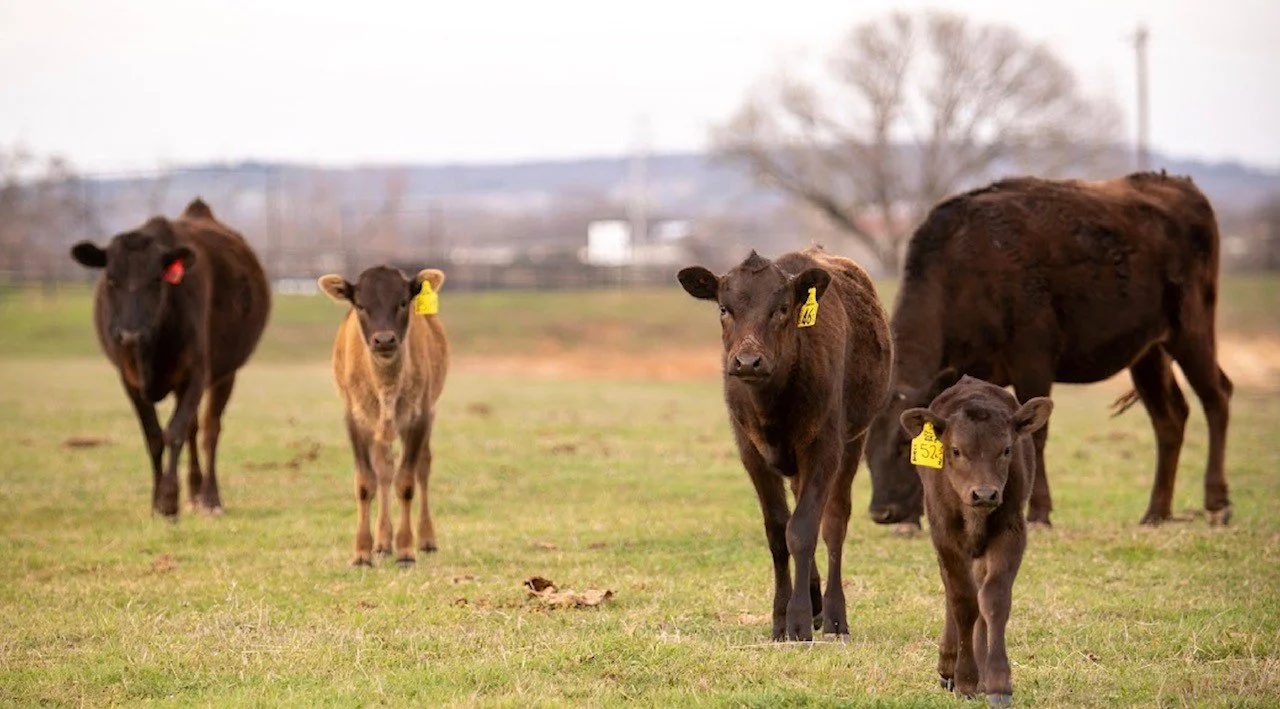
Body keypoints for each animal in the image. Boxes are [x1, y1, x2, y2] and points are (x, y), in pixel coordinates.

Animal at [69, 198, 271, 517]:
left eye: (156, 280)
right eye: (111, 280)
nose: (130, 334)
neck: (151, 351)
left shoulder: (196, 373)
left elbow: (174, 432)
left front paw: (168, 500)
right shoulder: (129, 379)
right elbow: (154, 435)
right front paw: (156, 501)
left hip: (226, 373)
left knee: (209, 429)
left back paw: (209, 498)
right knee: (193, 428)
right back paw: (194, 492)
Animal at [318, 266, 449, 567]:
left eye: (403, 302)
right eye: (360, 305)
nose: (384, 339)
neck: (386, 388)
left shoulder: (419, 417)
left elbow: (407, 482)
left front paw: (406, 551)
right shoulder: (355, 418)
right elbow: (366, 483)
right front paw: (362, 553)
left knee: (422, 467)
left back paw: (426, 539)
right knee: (384, 470)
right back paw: (382, 542)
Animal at [677, 246, 892, 641]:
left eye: (781, 308)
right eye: (723, 308)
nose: (748, 361)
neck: (772, 405)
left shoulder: (825, 448)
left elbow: (804, 529)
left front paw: (799, 619)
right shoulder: (750, 452)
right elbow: (779, 531)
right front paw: (780, 617)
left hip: (854, 441)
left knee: (834, 523)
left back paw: (834, 616)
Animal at [866, 172, 1232, 529]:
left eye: (904, 445)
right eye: (867, 449)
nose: (882, 512)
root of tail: (1179, 184)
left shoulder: (1033, 361)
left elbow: (1035, 436)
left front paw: (1039, 512)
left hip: (1191, 332)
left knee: (1216, 397)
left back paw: (1217, 503)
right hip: (1148, 353)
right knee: (1169, 419)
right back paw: (1156, 512)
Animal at [899, 375, 1052, 705]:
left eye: (1006, 449)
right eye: (956, 450)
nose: (984, 494)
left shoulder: (1011, 532)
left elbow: (993, 599)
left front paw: (996, 683)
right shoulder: (944, 534)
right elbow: (962, 601)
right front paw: (966, 679)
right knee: (953, 592)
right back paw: (949, 666)